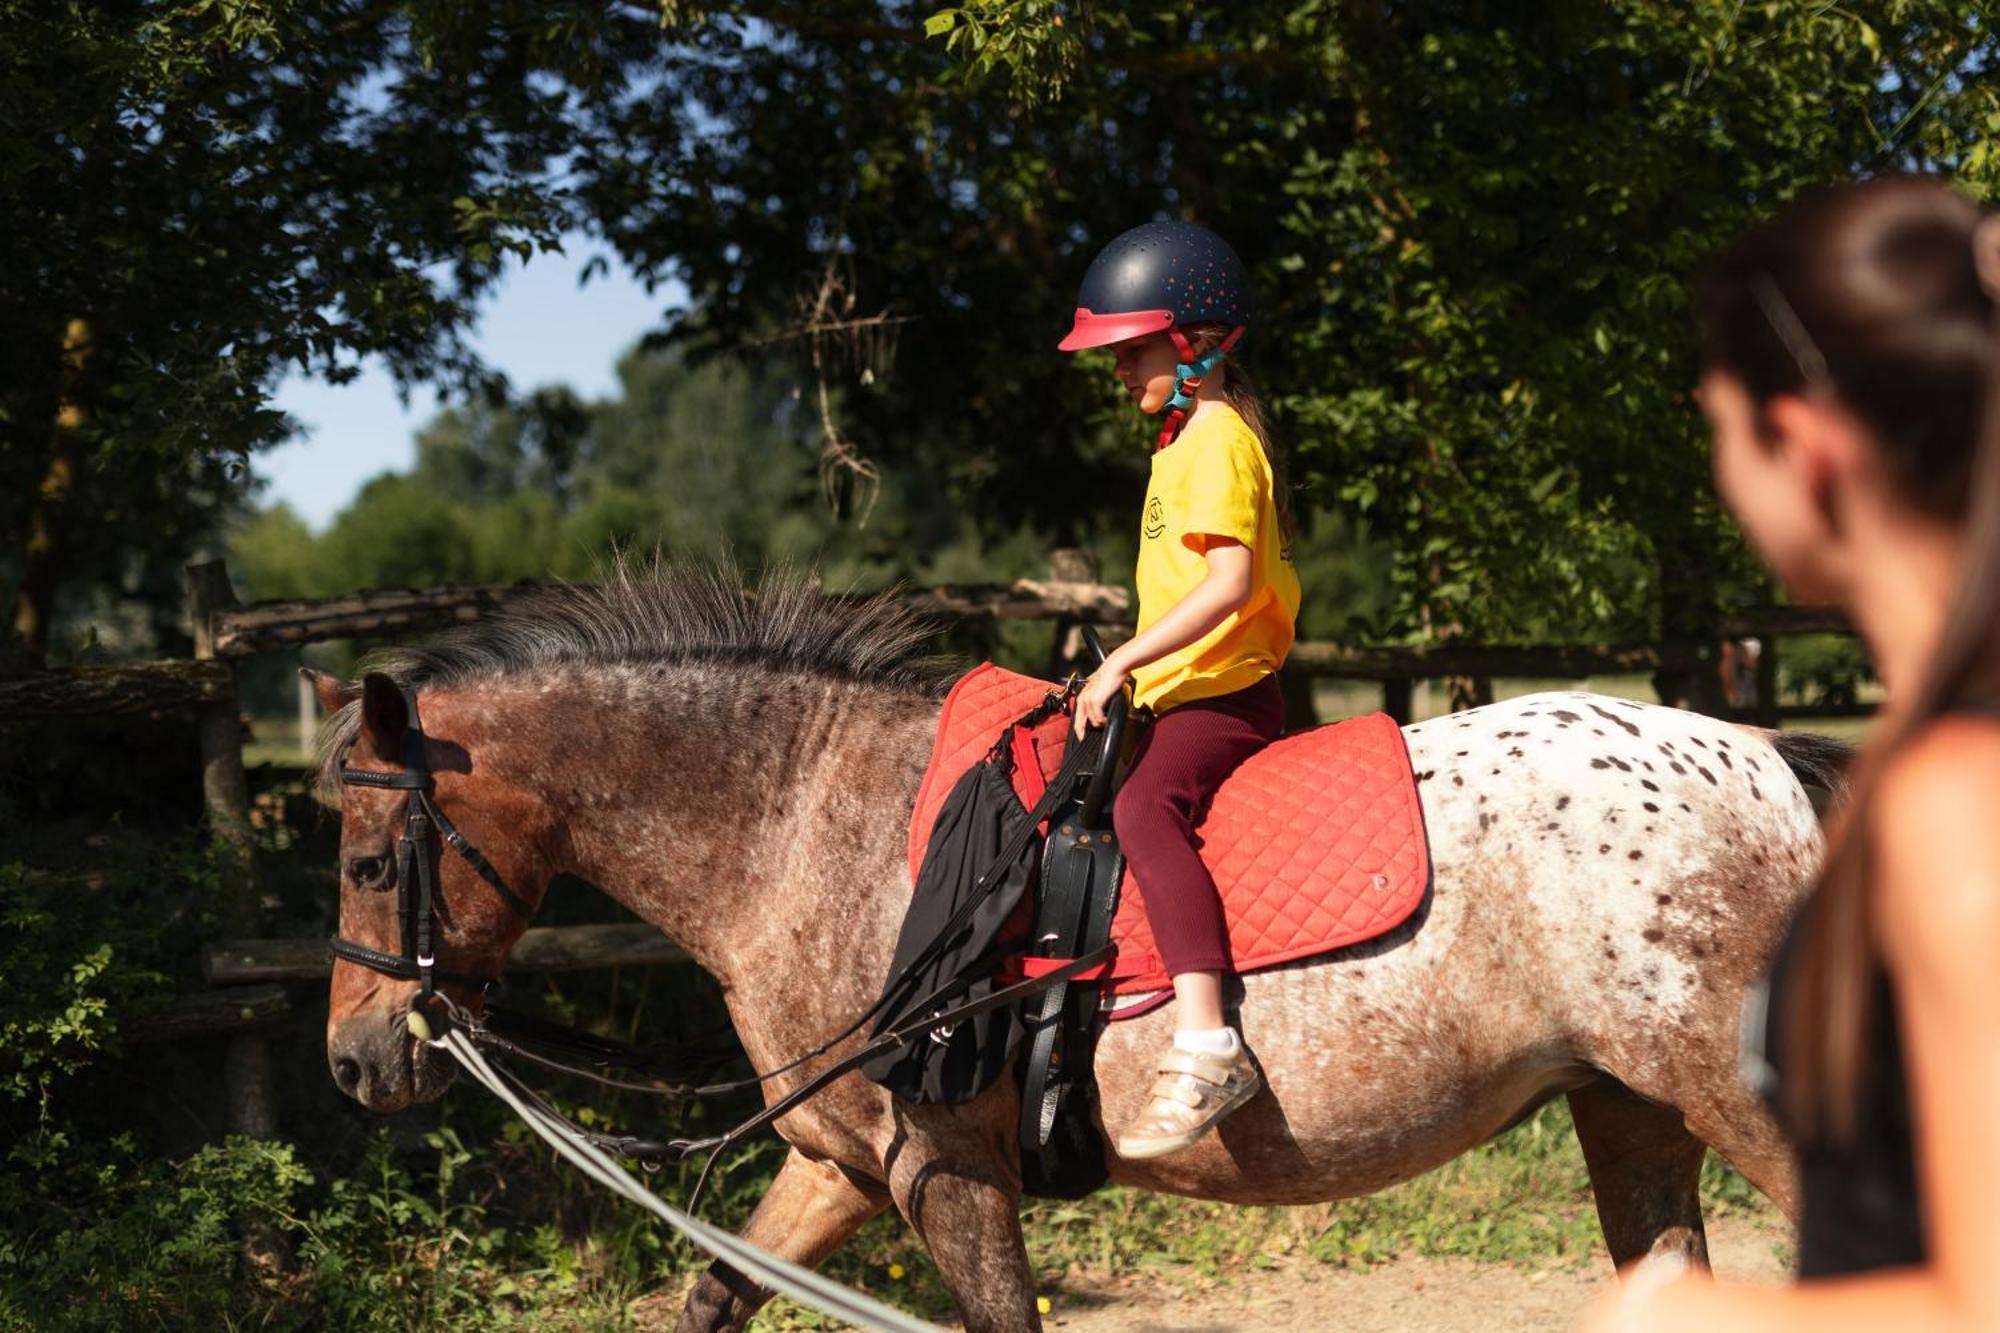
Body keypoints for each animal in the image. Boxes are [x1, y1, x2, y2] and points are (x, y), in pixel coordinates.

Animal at [312, 556, 1840, 1320]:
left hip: (1730, 1098)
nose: (353, 1063)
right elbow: (712, 1297)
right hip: (1628, 1107)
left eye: (370, 859)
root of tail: (1762, 758)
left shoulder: (947, 1170)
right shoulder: (842, 1166)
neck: (806, 821)